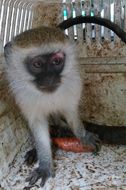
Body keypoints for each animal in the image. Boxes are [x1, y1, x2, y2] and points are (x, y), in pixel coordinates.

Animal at [3, 25, 100, 187]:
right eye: (37, 64)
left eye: (56, 61)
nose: (49, 78)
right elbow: (38, 125)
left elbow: (71, 113)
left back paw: (61, 128)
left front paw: (82, 135)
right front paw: (44, 164)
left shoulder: (73, 85)